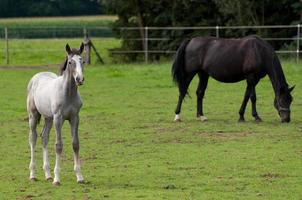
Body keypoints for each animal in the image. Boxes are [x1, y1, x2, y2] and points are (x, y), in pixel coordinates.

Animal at [26, 43, 85, 185]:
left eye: (82, 61)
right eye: (70, 62)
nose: (80, 79)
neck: (68, 93)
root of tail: (38, 75)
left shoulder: (75, 118)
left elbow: (75, 144)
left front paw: (80, 177)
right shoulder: (58, 118)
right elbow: (58, 145)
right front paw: (57, 178)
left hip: (48, 118)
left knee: (44, 137)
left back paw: (48, 175)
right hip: (33, 116)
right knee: (33, 138)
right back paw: (33, 175)